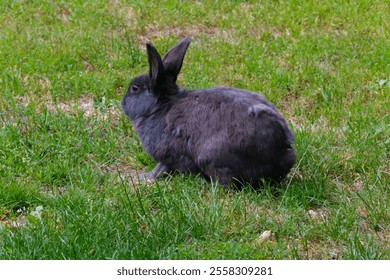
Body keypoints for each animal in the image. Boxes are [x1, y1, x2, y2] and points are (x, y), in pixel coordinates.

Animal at [120, 36, 294, 186]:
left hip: (211, 159)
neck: (160, 106)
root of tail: (281, 153)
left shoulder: (166, 156)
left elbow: (161, 169)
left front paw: (144, 177)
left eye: (134, 88)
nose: (122, 103)